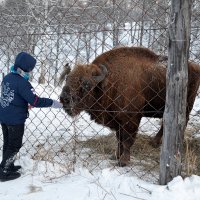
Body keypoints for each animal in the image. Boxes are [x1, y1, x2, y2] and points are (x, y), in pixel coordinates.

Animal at [60, 46, 200, 166]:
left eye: (86, 84)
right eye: (67, 79)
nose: (63, 99)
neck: (110, 81)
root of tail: (194, 66)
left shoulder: (130, 119)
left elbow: (127, 140)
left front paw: (123, 161)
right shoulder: (117, 120)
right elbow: (119, 139)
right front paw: (115, 156)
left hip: (186, 106)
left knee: (180, 122)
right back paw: (154, 143)